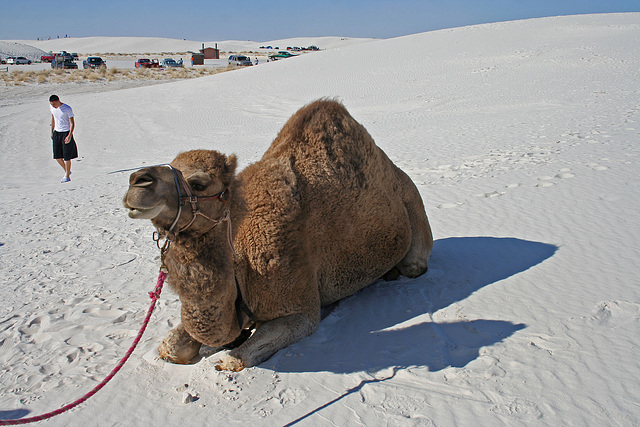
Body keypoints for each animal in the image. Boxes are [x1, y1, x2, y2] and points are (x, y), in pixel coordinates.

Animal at [122, 98, 432, 372]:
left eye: (198, 183)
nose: (137, 181)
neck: (240, 253)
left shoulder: (299, 308)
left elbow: (234, 359)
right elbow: (171, 347)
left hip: (413, 205)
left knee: (414, 264)